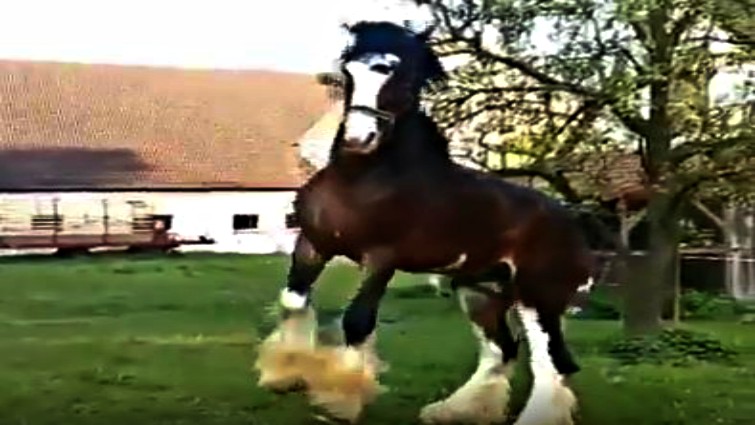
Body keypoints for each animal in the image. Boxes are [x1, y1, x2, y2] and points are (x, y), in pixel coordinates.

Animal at [254, 21, 593, 425]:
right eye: (349, 71)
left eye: (395, 73)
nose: (358, 138)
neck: (358, 180)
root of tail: (572, 221)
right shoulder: (313, 245)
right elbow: (292, 300)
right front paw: (284, 373)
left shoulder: (381, 258)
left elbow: (357, 321)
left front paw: (339, 400)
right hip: (481, 291)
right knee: (502, 351)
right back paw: (452, 411)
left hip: (538, 298)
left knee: (550, 364)